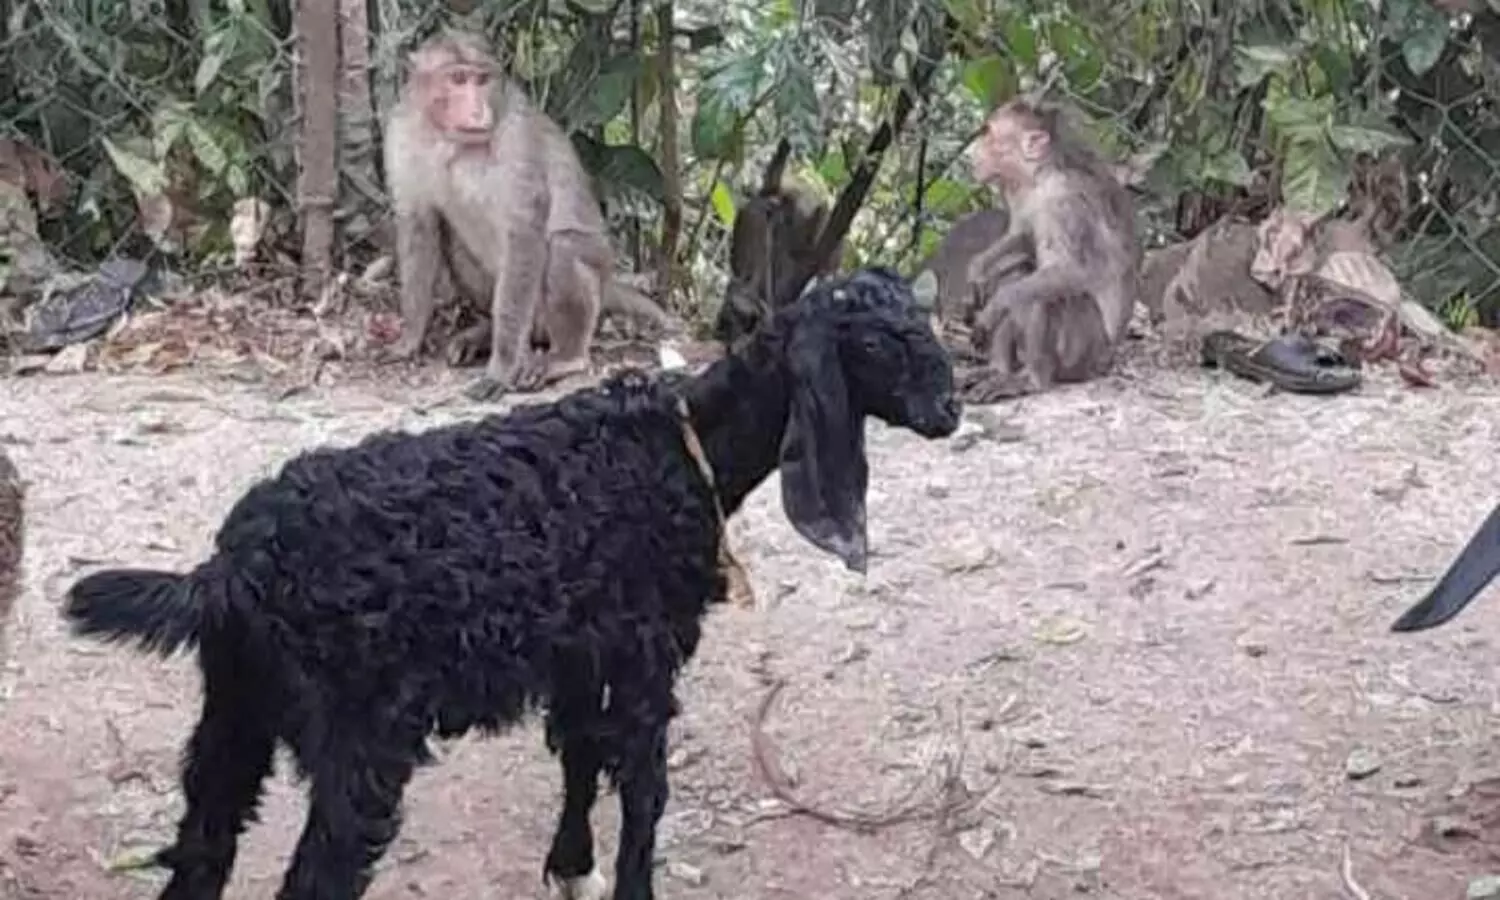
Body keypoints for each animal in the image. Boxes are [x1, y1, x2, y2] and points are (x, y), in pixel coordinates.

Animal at [383, 31, 676, 402]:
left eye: (482, 80)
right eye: (458, 79)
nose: (478, 109)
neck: (450, 141)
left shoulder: (516, 141)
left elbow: (524, 236)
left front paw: (502, 368)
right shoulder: (401, 133)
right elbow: (418, 226)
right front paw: (410, 338)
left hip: (580, 284)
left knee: (563, 250)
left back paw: (565, 359)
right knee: (455, 241)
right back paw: (483, 334)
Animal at [960, 98, 1142, 402]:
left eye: (988, 133)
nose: (972, 150)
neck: (1041, 175)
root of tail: (1108, 359)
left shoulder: (1065, 202)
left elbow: (1079, 270)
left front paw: (995, 305)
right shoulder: (1022, 192)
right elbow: (1021, 233)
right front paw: (977, 269)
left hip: (1083, 352)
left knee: (1042, 293)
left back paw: (1034, 379)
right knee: (1018, 272)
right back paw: (999, 370)